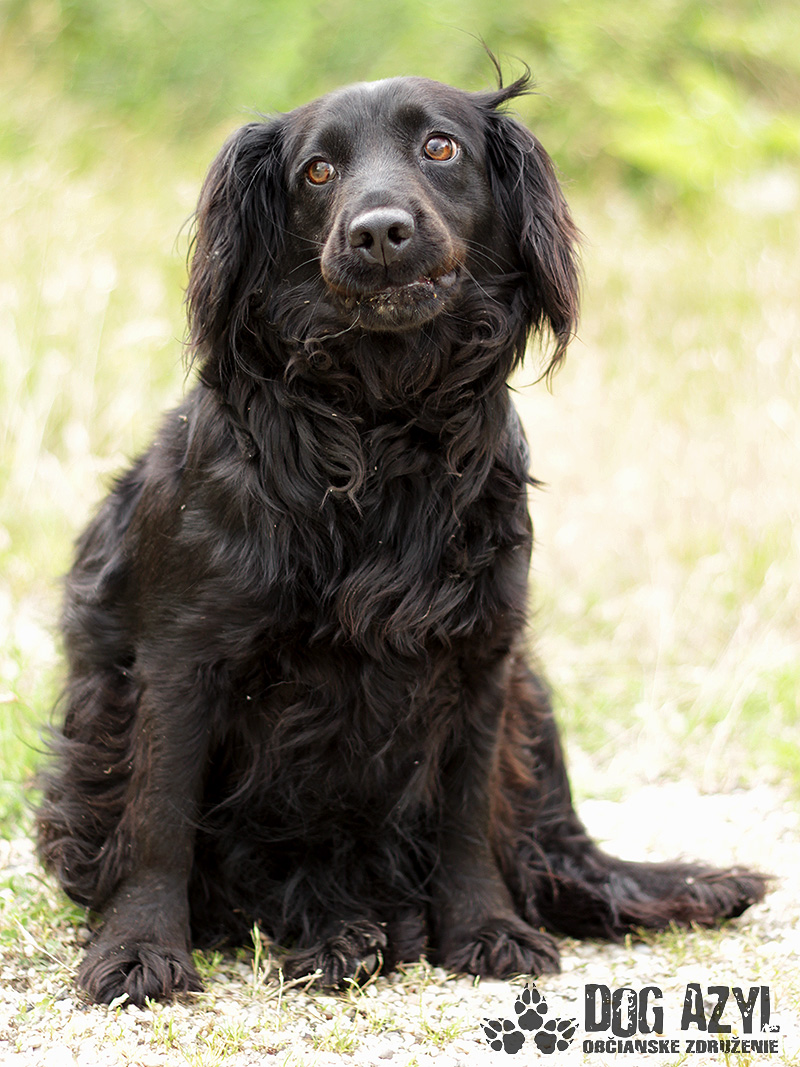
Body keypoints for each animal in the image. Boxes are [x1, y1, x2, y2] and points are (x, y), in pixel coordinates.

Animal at [36, 70, 766, 1006]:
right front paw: (137, 948)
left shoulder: (484, 655)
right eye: (317, 170)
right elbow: (159, 814)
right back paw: (339, 934)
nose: (379, 230)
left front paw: (487, 929)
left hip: (535, 695)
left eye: (440, 146)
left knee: (555, 851)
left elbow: (467, 818)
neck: (382, 422)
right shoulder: (176, 657)